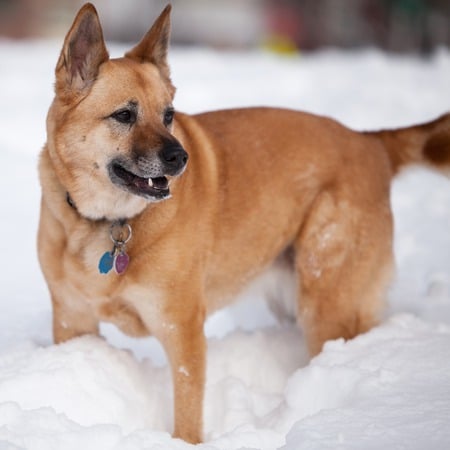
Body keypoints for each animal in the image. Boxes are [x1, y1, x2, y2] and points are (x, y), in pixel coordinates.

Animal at [39, 1, 450, 442]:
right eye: (123, 115)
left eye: (168, 115)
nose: (180, 158)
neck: (109, 221)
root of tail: (370, 141)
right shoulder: (72, 321)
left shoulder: (182, 330)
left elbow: (187, 413)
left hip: (326, 300)